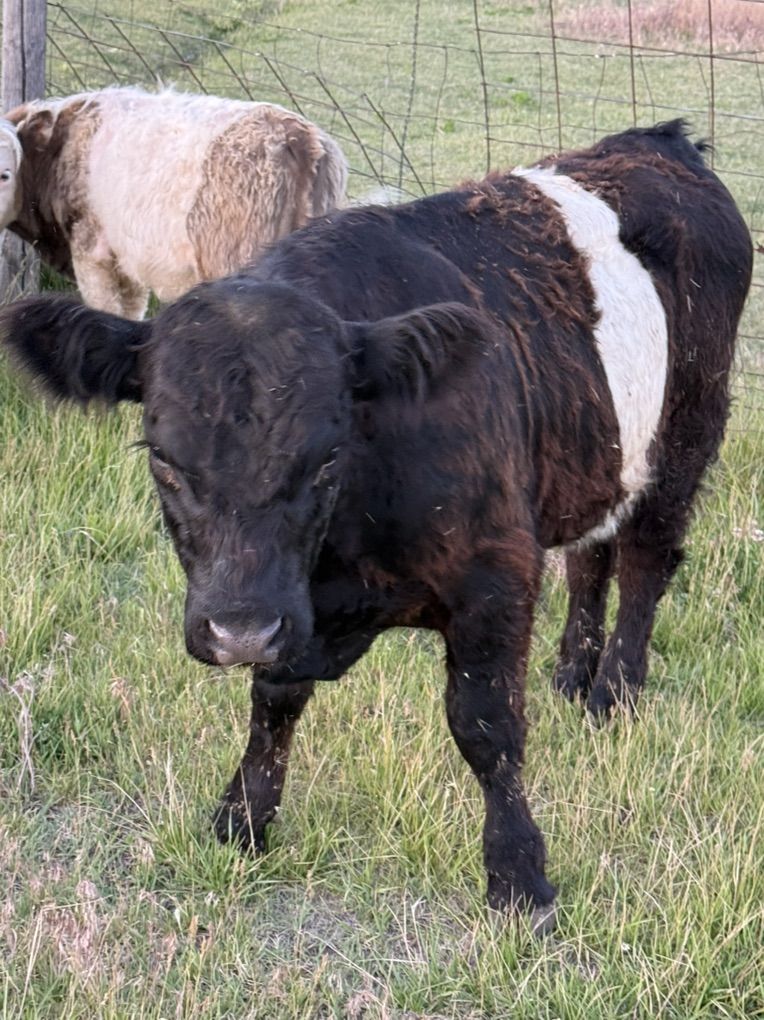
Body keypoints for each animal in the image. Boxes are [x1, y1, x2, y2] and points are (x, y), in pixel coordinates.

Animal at [1, 122, 752, 931]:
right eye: (163, 459)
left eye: (328, 457)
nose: (237, 631)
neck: (346, 564)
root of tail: (659, 140)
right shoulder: (289, 608)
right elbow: (273, 703)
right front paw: (243, 822)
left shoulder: (496, 575)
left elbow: (485, 725)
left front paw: (520, 877)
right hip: (596, 454)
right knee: (592, 555)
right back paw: (571, 674)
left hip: (687, 431)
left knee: (646, 559)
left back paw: (614, 693)